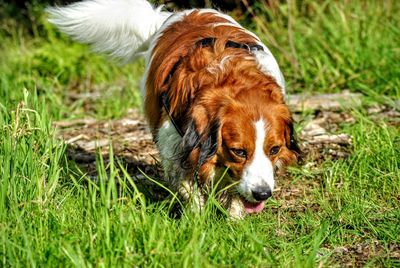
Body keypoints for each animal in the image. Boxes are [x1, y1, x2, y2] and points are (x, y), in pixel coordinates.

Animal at [47, 0, 300, 218]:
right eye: (239, 151)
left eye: (274, 149)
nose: (262, 193)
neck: (229, 76)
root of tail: (183, 13)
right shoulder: (174, 146)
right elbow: (189, 187)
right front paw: (198, 221)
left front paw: (234, 222)